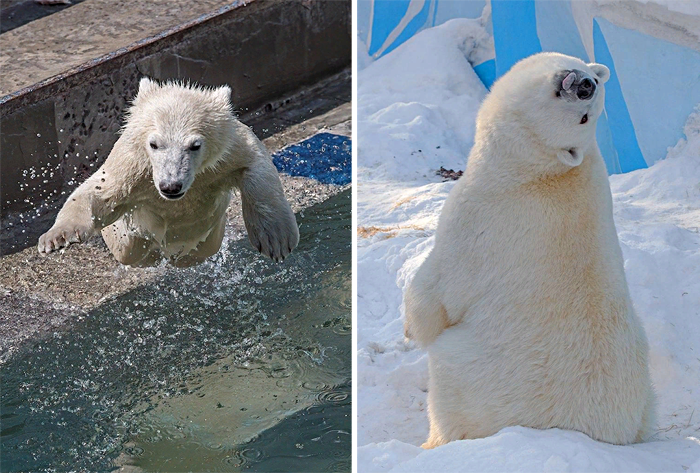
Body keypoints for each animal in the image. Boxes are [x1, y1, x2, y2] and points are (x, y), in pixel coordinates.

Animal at [38, 79, 300, 268]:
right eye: (154, 144)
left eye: (195, 145)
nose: (171, 186)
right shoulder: (132, 165)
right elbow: (99, 190)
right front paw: (56, 237)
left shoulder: (226, 151)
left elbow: (255, 165)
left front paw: (277, 240)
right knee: (128, 249)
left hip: (205, 241)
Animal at [404, 51, 656, 446]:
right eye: (592, 84)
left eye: (585, 117)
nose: (586, 85)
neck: (539, 170)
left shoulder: (480, 218)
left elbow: (436, 292)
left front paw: (412, 329)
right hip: (646, 399)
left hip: (479, 378)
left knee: (449, 384)